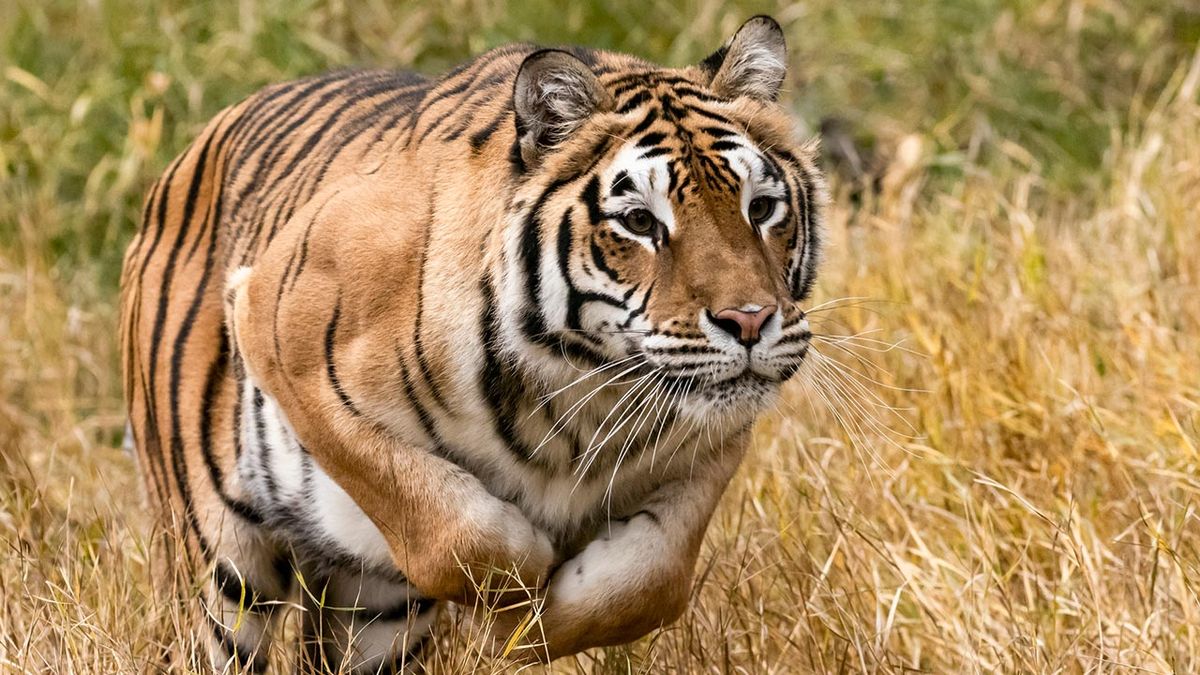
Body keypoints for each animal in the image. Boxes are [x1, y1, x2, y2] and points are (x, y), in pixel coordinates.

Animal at [119, 14, 825, 673]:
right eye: (639, 222)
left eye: (761, 208)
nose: (750, 322)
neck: (586, 390)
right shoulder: (279, 328)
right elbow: (453, 527)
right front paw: (518, 603)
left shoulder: (713, 443)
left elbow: (651, 580)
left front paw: (540, 626)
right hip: (220, 566)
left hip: (372, 615)